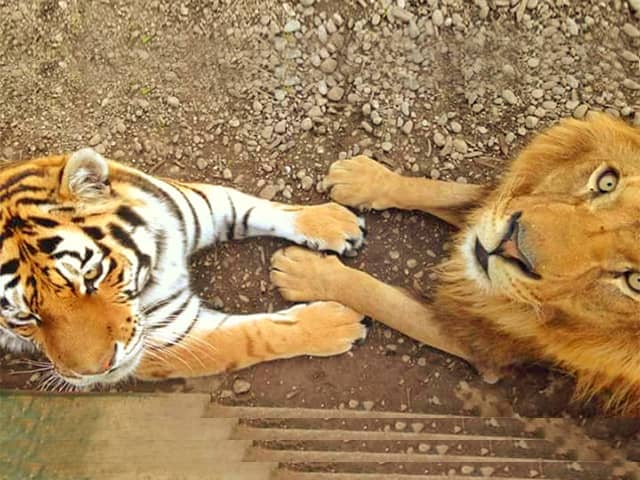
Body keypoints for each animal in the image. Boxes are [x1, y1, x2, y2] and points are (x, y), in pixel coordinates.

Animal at [0, 148, 368, 388]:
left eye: (92, 276)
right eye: (24, 317)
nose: (97, 372)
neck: (156, 261)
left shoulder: (203, 205)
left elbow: (259, 208)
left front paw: (333, 222)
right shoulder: (171, 341)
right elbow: (256, 336)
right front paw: (337, 322)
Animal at [270, 113, 640, 412]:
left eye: (635, 281)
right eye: (607, 182)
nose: (510, 243)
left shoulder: (484, 347)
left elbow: (379, 297)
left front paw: (304, 272)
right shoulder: (490, 211)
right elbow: (441, 191)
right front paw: (361, 178)